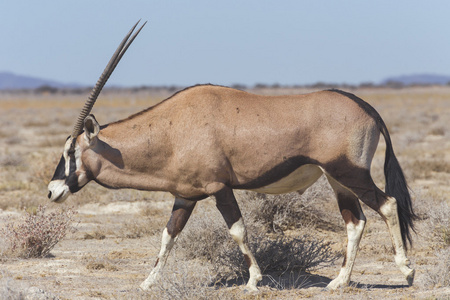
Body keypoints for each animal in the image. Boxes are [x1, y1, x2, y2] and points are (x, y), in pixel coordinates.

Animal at [47, 21, 416, 292]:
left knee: (387, 204)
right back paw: (339, 282)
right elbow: (168, 235)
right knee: (356, 221)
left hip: (350, 172)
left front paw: (253, 281)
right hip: (337, 179)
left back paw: (407, 271)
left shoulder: (218, 188)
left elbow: (237, 230)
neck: (171, 129)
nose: (52, 191)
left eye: (71, 151)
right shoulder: (185, 196)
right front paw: (147, 282)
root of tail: (366, 107)